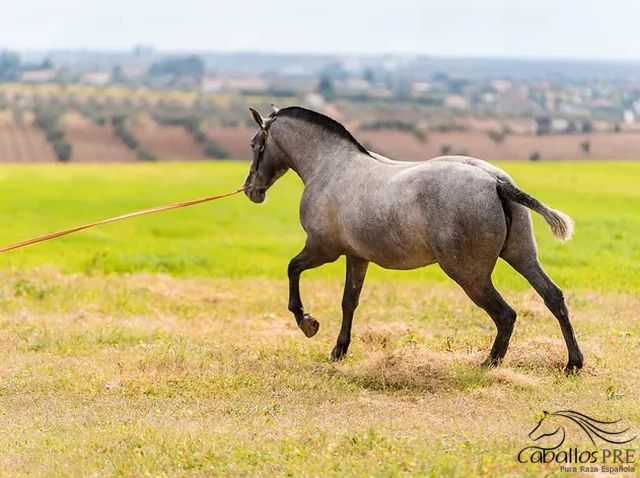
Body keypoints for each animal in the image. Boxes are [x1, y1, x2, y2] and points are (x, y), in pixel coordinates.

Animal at [242, 106, 584, 372]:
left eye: (255, 143)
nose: (250, 190)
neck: (331, 166)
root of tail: (495, 181)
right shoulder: (357, 256)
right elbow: (349, 301)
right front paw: (339, 350)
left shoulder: (322, 248)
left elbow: (292, 269)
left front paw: (308, 323)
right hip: (522, 257)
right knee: (553, 297)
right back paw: (573, 363)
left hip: (470, 275)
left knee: (505, 314)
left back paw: (490, 363)